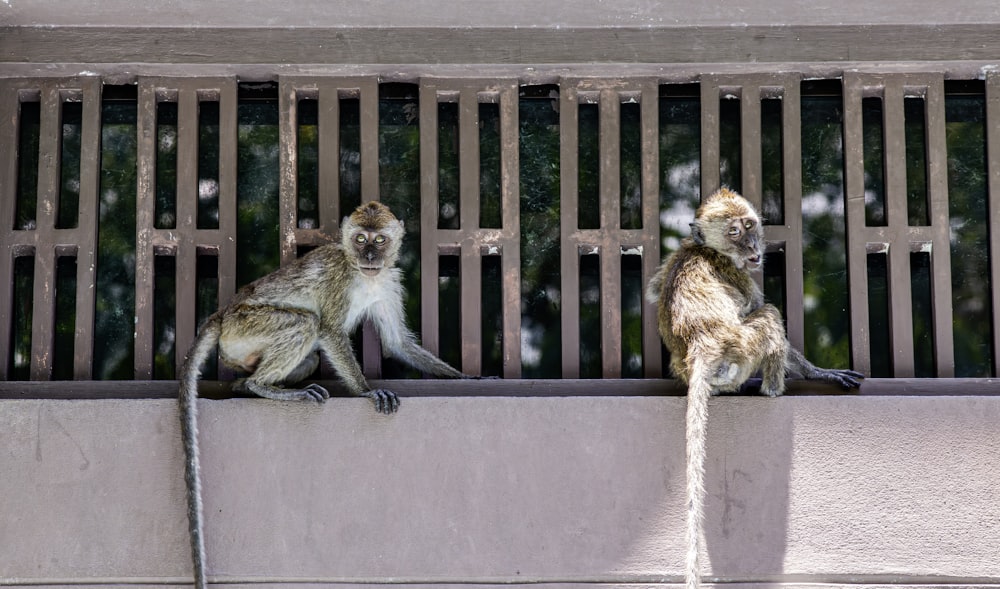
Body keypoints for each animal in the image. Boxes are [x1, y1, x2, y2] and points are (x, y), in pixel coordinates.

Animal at [178, 200, 462, 584]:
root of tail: (222, 314)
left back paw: (246, 387)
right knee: (306, 324)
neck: (365, 275)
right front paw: (366, 392)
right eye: (360, 239)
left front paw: (468, 377)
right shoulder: (340, 279)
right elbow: (329, 330)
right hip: (245, 328)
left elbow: (397, 343)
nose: (370, 255)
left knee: (308, 355)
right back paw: (262, 387)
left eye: (379, 240)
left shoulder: (388, 283)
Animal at [644, 188, 864, 588]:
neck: (710, 251)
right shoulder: (737, 276)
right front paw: (818, 372)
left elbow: (654, 289)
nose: (751, 245)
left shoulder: (677, 254)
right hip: (741, 348)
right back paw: (773, 389)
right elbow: (759, 307)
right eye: (733, 232)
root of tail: (701, 350)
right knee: (770, 316)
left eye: (749, 226)